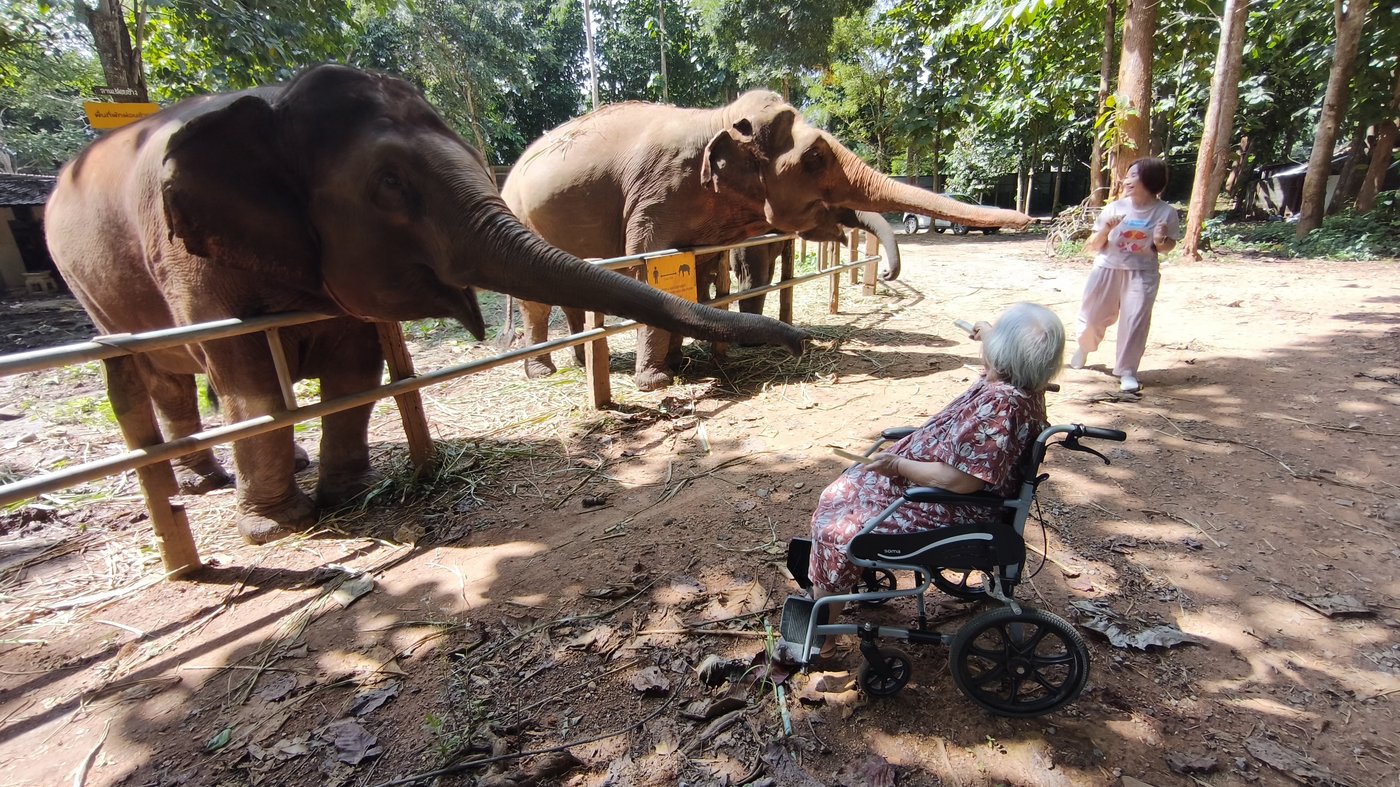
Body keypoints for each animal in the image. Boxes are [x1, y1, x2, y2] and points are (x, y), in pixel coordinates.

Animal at [43, 65, 806, 545]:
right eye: (388, 184)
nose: (799, 344)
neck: (270, 103)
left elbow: (354, 366)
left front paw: (346, 493)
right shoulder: (187, 258)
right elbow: (249, 375)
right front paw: (277, 526)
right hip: (93, 290)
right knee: (161, 378)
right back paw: (207, 483)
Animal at [500, 90, 1029, 391]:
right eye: (815, 158)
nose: (1026, 220)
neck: (717, 119)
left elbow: (697, 273)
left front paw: (685, 362)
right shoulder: (653, 195)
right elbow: (645, 267)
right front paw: (658, 381)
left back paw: (580, 362)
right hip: (522, 218)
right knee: (536, 302)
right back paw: (544, 372)